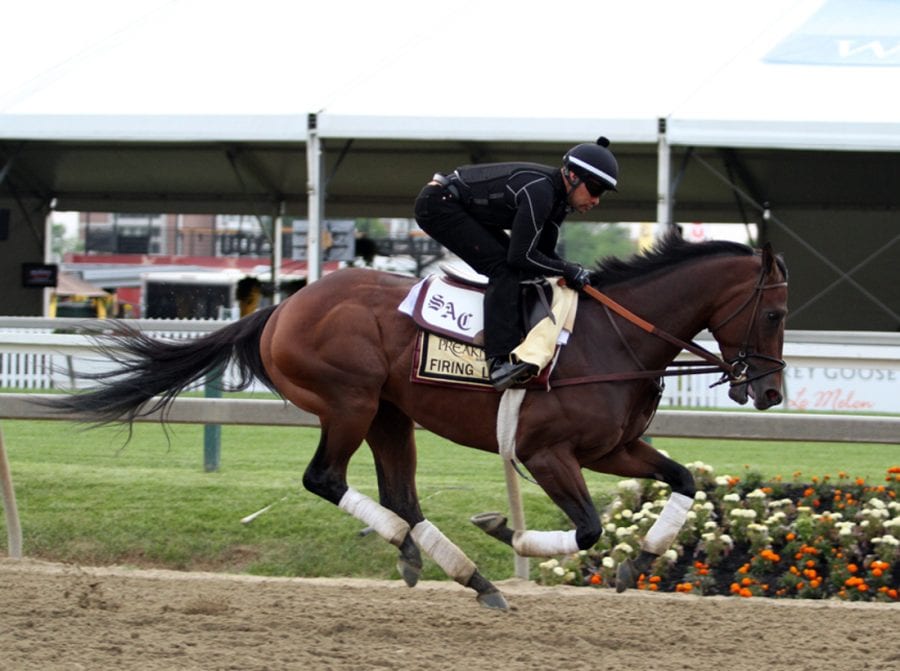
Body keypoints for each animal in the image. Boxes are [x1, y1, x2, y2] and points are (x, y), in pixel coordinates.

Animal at [49, 234, 788, 612]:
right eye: (777, 312)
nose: (772, 390)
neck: (613, 339)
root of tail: (282, 308)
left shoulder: (614, 447)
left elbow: (684, 479)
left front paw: (642, 557)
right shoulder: (546, 452)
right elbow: (586, 528)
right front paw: (507, 531)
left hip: (389, 413)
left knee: (402, 496)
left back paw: (459, 572)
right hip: (348, 401)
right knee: (326, 478)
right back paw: (447, 560)